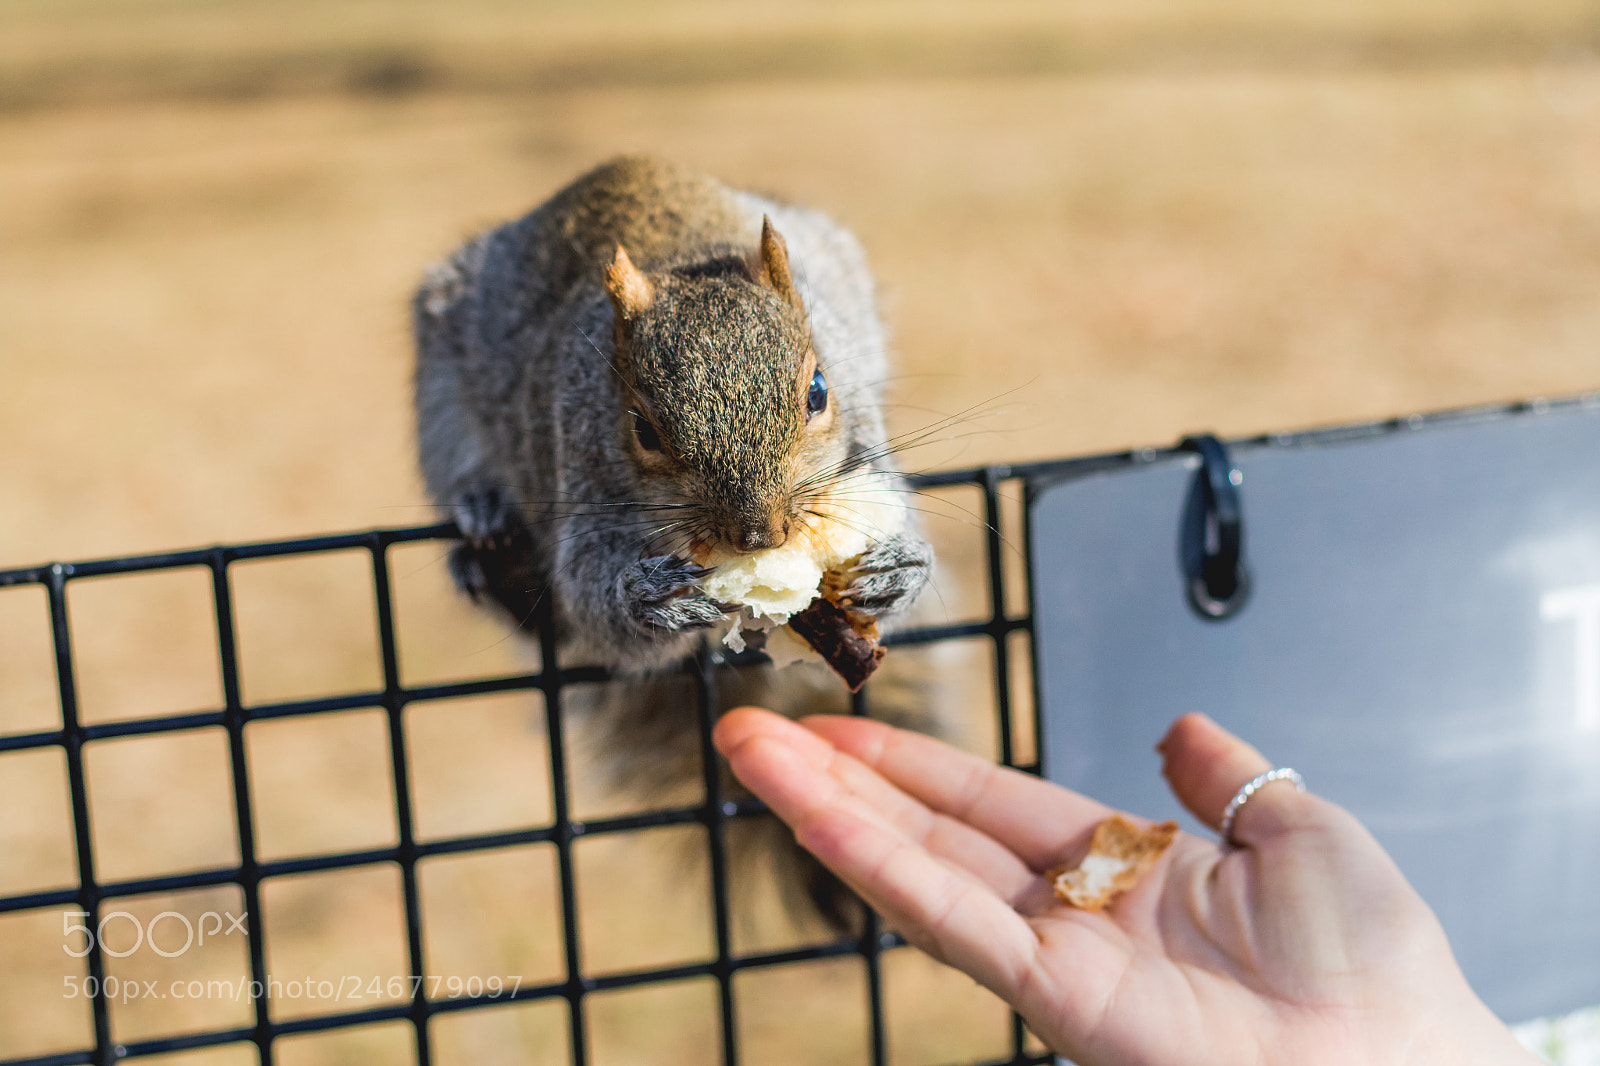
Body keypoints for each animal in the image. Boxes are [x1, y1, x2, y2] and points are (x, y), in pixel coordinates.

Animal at [412, 156, 941, 926]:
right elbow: (588, 594)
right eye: (643, 429)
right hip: (443, 383)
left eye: (818, 390)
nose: (761, 533)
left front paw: (899, 570)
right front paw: (649, 604)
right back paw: (487, 527)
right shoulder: (575, 476)